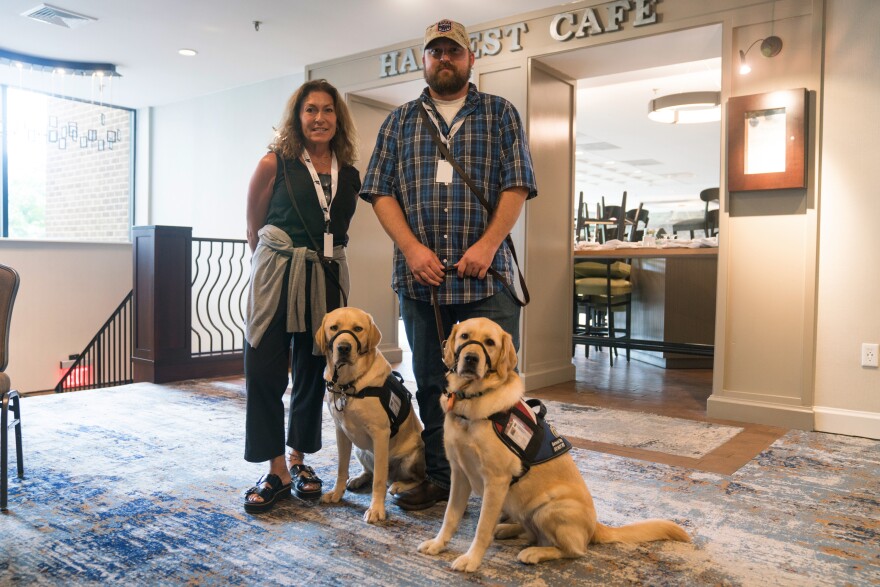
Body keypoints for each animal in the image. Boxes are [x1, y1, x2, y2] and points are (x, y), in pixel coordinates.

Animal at [316, 308, 426, 524]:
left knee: (412, 478)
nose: (343, 347)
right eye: (334, 327)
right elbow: (341, 468)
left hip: (412, 457)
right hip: (361, 450)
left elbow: (379, 480)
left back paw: (399, 485)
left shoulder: (380, 434)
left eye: (358, 329)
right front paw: (337, 493)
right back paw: (358, 479)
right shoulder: (341, 431)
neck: (348, 385)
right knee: (371, 471)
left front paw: (376, 509)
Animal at [416, 320, 692, 572]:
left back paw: (535, 552)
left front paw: (471, 560)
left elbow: (482, 527)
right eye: (465, 336)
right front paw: (438, 544)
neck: (472, 403)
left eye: (490, 342)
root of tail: (595, 526)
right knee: (530, 532)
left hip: (549, 508)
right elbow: (450, 516)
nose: (471, 358)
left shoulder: (495, 481)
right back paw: (507, 529)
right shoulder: (459, 473)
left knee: (574, 550)